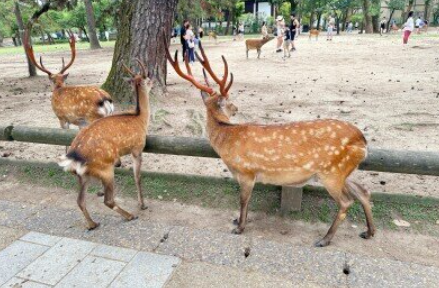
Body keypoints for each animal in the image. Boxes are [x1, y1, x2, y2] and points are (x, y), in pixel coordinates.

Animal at [59, 60, 153, 230]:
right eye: (147, 79)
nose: (153, 82)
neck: (141, 119)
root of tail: (74, 156)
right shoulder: (137, 148)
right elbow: (137, 177)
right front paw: (142, 204)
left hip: (83, 175)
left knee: (80, 200)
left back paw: (92, 224)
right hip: (105, 170)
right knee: (108, 200)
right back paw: (130, 215)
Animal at [167, 43, 376, 248]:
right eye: (229, 101)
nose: (236, 108)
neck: (227, 142)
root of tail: (362, 140)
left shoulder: (247, 171)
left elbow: (243, 200)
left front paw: (239, 227)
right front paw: (237, 221)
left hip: (331, 172)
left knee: (346, 202)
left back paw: (324, 239)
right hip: (342, 171)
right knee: (363, 191)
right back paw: (369, 232)